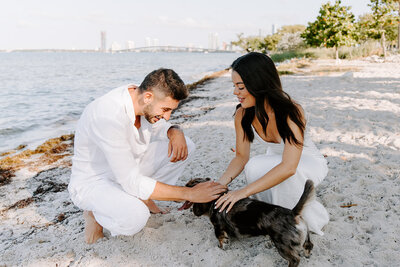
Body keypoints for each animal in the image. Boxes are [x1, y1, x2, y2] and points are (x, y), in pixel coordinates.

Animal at [180, 178, 316, 267]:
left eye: (188, 185)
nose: (181, 191)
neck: (216, 199)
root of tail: (293, 213)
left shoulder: (218, 228)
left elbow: (221, 239)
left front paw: (221, 247)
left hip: (283, 245)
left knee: (295, 259)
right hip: (304, 236)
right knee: (309, 245)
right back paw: (307, 255)